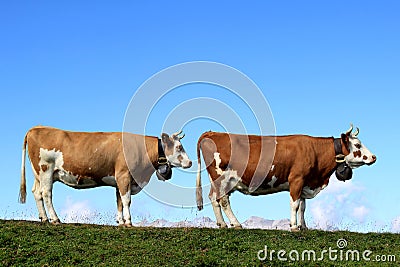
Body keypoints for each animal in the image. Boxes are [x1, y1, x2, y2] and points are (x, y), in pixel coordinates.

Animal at [19, 126, 191, 227]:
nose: (190, 162)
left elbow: (119, 201)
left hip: (38, 174)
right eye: (179, 147)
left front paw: (120, 221)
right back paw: (55, 219)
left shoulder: (119, 179)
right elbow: (127, 200)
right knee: (46, 194)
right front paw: (129, 222)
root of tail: (37, 128)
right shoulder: (124, 175)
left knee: (37, 193)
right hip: (46, 170)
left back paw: (44, 218)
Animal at [195, 124, 376, 231]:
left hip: (216, 180)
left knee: (213, 198)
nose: (374, 157)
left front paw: (304, 227)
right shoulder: (297, 179)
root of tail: (211, 133)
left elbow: (303, 206)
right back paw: (236, 224)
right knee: (224, 200)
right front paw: (294, 226)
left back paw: (222, 224)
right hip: (223, 178)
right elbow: (295, 204)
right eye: (358, 145)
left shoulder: (305, 182)